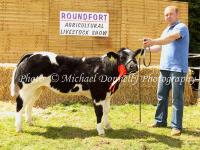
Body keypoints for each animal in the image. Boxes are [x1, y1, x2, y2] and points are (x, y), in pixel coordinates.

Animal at [10, 47, 141, 135]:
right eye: (122, 57)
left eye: (134, 56)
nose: (134, 66)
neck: (106, 68)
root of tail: (32, 54)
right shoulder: (98, 95)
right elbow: (99, 112)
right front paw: (100, 131)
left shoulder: (107, 95)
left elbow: (107, 111)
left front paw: (108, 126)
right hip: (26, 88)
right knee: (20, 104)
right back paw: (19, 128)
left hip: (36, 89)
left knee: (29, 104)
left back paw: (29, 122)